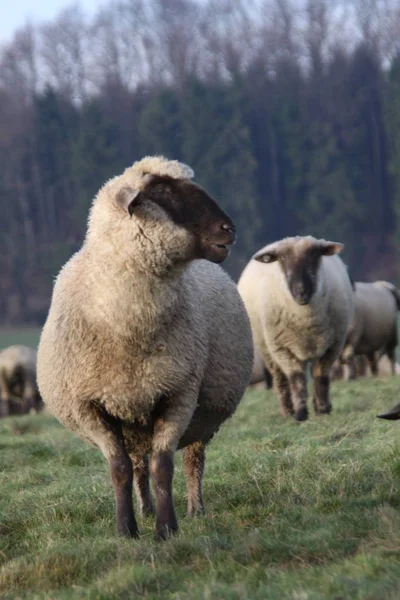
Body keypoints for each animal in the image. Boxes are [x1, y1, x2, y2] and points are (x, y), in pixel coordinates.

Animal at [36, 154, 252, 540]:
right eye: (163, 191)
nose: (229, 230)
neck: (127, 327)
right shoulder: (90, 405)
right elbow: (120, 469)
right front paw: (126, 529)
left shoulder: (178, 393)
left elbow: (163, 466)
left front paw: (166, 529)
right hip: (133, 417)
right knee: (137, 465)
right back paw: (145, 509)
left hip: (198, 417)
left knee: (192, 461)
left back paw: (195, 509)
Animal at [238, 234, 354, 422]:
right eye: (282, 258)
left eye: (314, 254)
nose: (301, 291)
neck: (305, 318)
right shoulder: (282, 348)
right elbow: (296, 379)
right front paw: (300, 413)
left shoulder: (333, 346)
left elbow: (321, 376)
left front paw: (322, 409)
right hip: (266, 348)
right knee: (280, 380)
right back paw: (287, 411)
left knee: (314, 372)